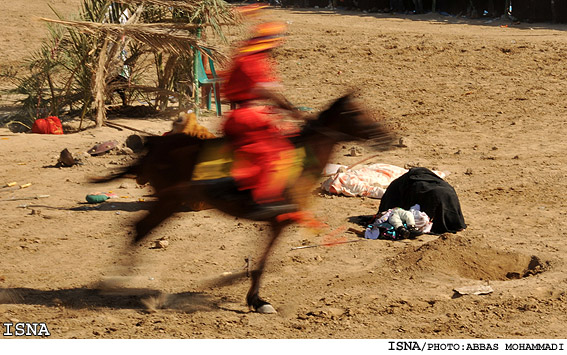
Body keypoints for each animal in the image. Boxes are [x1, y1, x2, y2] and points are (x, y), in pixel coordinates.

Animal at [98, 94, 394, 314]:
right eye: (355, 113)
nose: (384, 136)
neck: (303, 158)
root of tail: (156, 147)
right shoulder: (280, 217)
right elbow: (263, 262)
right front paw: (253, 298)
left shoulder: (278, 220)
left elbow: (264, 260)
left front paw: (253, 297)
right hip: (170, 200)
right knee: (141, 229)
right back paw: (126, 285)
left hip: (169, 200)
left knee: (139, 229)